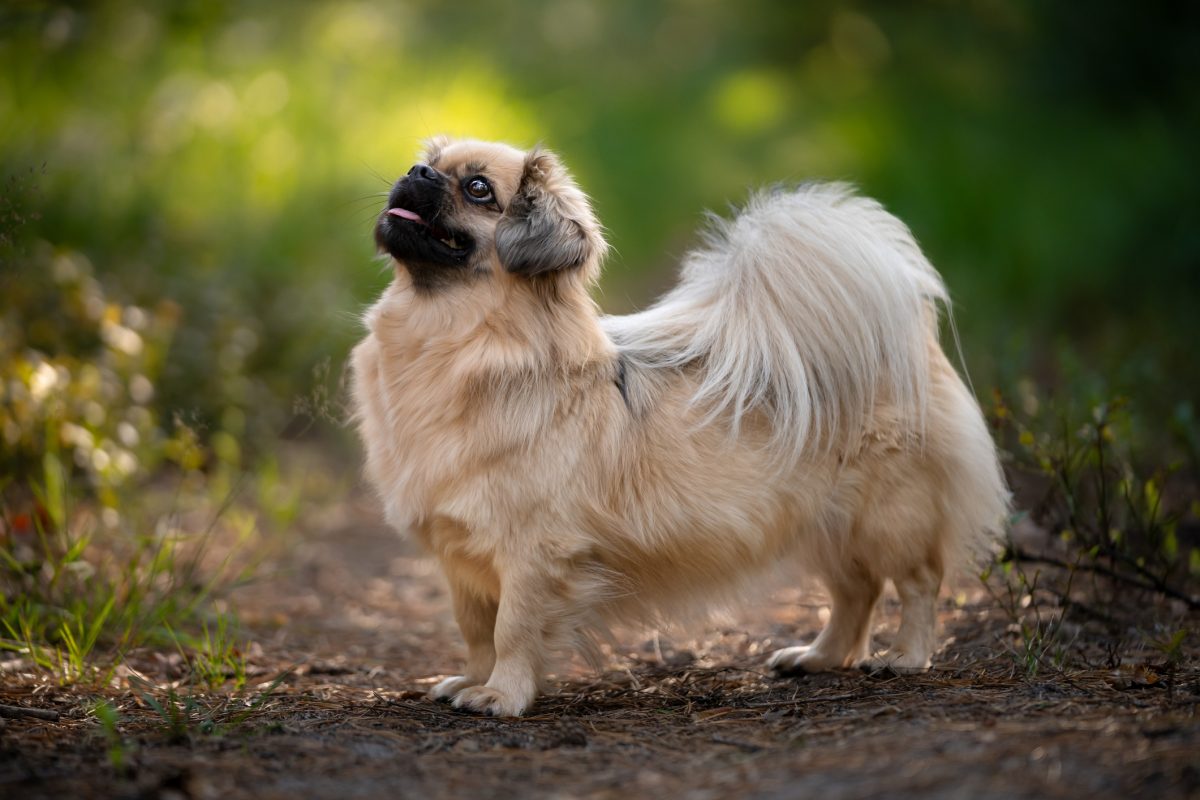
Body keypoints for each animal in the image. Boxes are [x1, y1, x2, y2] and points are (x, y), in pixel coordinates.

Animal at [350, 137, 1008, 719]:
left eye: (478, 189)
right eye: (428, 163)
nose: (416, 173)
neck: (453, 343)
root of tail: (907, 346)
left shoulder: (533, 555)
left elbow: (512, 629)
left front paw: (502, 697)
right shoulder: (462, 558)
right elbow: (476, 632)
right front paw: (473, 681)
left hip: (888, 518)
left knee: (917, 583)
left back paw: (905, 657)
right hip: (822, 525)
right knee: (857, 593)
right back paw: (817, 657)